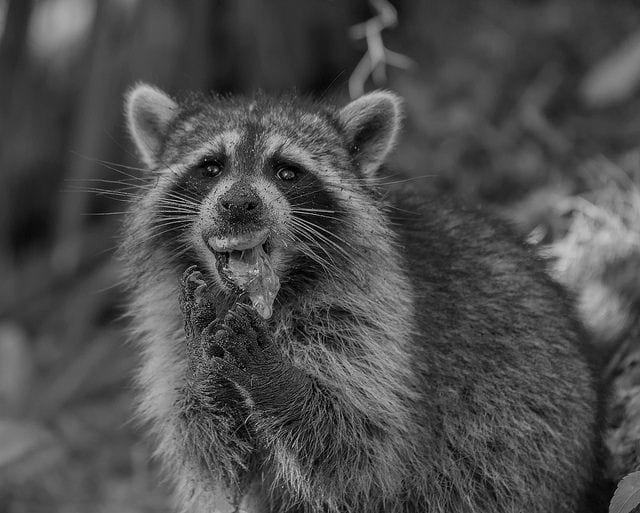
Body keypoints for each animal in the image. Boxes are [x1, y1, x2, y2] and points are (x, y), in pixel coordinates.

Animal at [122, 85, 608, 512]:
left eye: (286, 171)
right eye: (211, 168)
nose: (240, 204)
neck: (264, 298)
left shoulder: (375, 313)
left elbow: (361, 450)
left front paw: (275, 379)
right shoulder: (170, 326)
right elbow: (210, 453)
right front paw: (205, 368)